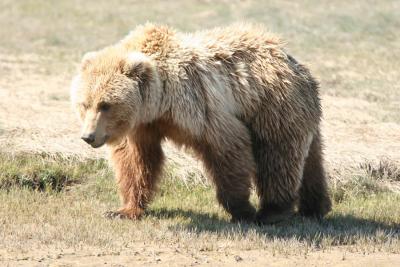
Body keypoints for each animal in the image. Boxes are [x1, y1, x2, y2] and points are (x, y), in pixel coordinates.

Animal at [71, 23, 332, 225]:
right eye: (84, 104)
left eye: (105, 105)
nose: (88, 136)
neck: (158, 101)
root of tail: (291, 59)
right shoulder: (141, 126)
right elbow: (136, 161)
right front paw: (123, 209)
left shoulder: (198, 106)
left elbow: (228, 148)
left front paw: (242, 209)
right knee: (311, 160)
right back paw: (315, 207)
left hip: (271, 106)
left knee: (278, 155)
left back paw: (273, 211)